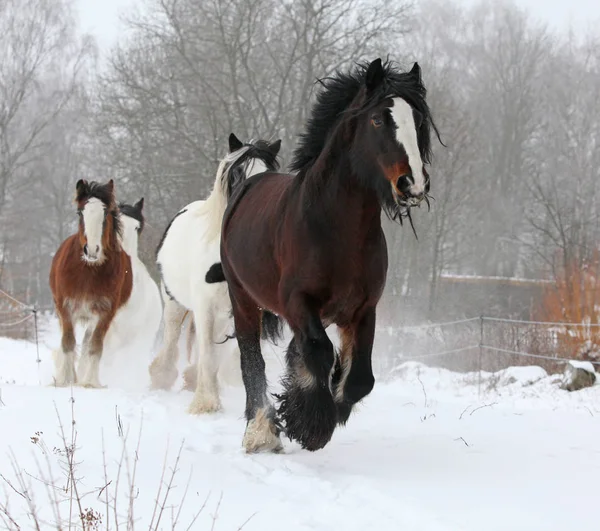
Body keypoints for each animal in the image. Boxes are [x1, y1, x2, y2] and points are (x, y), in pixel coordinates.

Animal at [50, 179, 132, 386]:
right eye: (80, 212)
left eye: (106, 213)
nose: (92, 250)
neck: (88, 271)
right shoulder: (66, 307)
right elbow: (68, 342)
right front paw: (65, 380)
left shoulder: (105, 312)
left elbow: (95, 345)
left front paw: (90, 383)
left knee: (87, 343)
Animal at [149, 134, 282, 416]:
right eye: (238, 173)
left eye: (269, 173)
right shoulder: (204, 306)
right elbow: (209, 354)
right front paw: (205, 403)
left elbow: (221, 354)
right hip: (174, 302)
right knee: (172, 337)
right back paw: (161, 377)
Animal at [220, 60, 440, 456]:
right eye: (378, 119)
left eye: (418, 120)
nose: (412, 184)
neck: (338, 230)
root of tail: (248, 184)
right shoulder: (298, 302)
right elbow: (319, 352)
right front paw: (311, 423)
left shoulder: (363, 309)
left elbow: (360, 378)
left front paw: (320, 408)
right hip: (242, 298)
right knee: (251, 358)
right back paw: (260, 429)